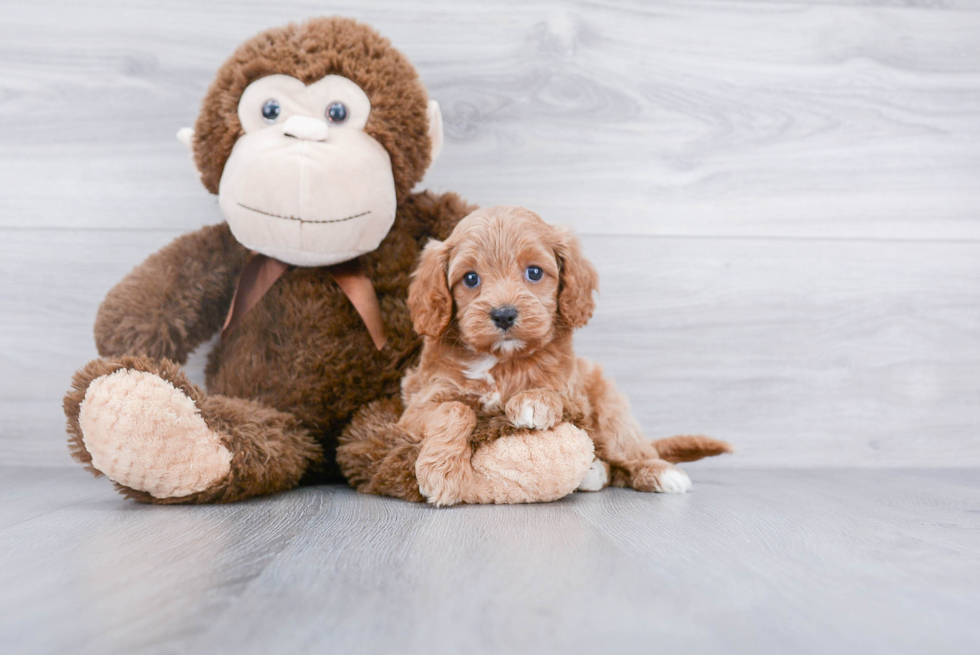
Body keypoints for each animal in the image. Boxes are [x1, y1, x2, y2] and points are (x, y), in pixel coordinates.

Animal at [396, 205, 728, 508]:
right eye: (470, 279)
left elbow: (551, 392)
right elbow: (454, 408)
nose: (503, 315)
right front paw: (443, 474)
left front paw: (535, 399)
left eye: (534, 272)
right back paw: (595, 473)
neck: (503, 361)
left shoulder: (575, 398)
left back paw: (659, 472)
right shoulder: (417, 407)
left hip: (609, 406)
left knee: (630, 451)